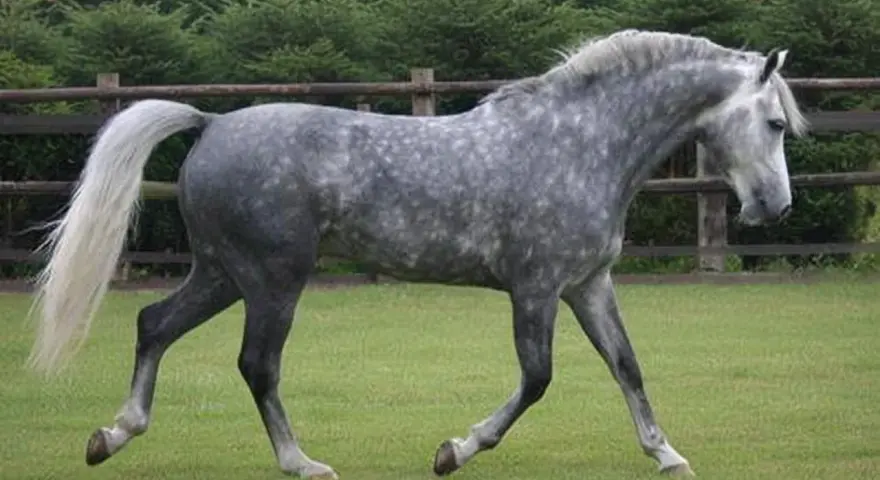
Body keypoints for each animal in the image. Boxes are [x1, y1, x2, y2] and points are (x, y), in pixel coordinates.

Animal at [26, 29, 807, 478]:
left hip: (223, 274)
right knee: (257, 365)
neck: (580, 144)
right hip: (273, 281)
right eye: (774, 122)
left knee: (154, 324)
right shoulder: (536, 288)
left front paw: (667, 454)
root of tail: (211, 122)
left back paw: (112, 436)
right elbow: (537, 379)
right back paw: (300, 462)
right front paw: (454, 451)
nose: (776, 209)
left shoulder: (588, 284)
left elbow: (627, 366)